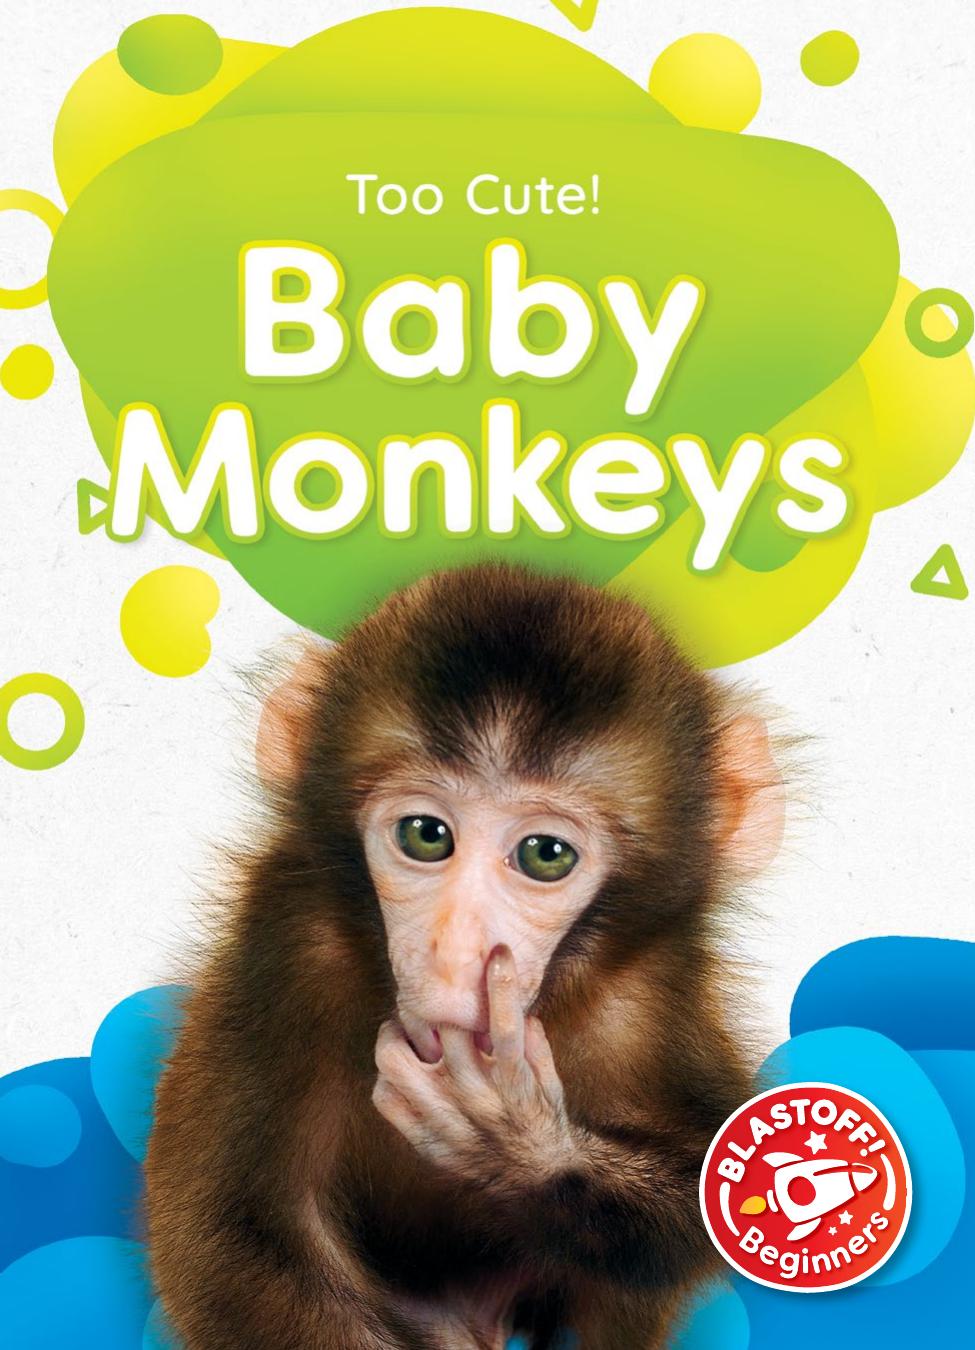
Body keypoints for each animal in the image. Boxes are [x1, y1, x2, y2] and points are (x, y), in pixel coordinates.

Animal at [145, 561, 785, 1350]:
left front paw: (515, 1145)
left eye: (545, 855)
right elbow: (229, 1233)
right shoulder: (288, 943)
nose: (453, 955)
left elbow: (712, 1193)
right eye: (426, 835)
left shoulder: (652, 991)